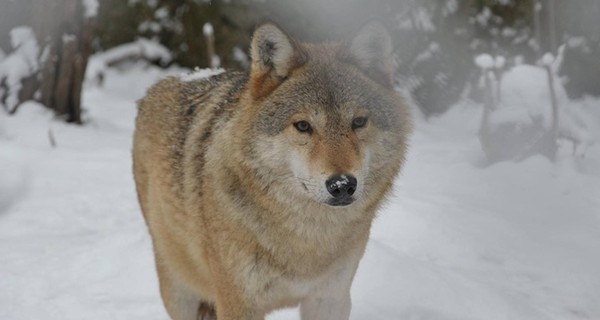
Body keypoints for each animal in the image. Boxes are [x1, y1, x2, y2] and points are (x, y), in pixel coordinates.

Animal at [133, 21, 410, 318]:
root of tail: (171, 80)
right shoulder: (238, 304)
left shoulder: (330, 298)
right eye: (303, 126)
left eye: (358, 122)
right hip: (179, 291)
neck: (308, 239)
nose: (342, 185)